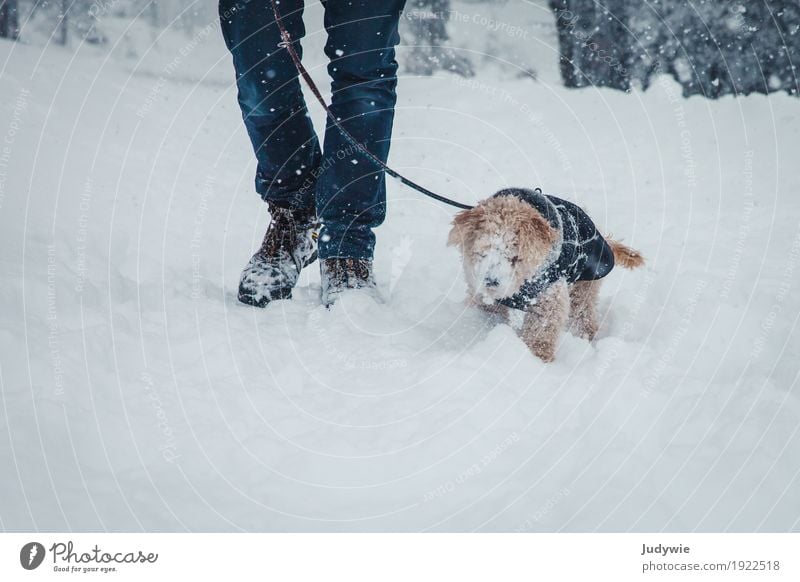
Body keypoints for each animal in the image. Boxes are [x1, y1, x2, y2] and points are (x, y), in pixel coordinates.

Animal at [450, 188, 644, 360]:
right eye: (482, 252)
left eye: (515, 257)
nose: (491, 281)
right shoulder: (485, 299)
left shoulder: (549, 298)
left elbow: (541, 330)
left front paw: (537, 358)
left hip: (583, 287)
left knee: (585, 317)